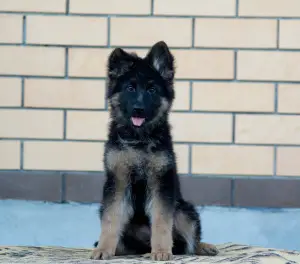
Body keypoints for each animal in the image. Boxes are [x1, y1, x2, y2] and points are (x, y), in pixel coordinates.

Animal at [90, 41, 219, 262]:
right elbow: (111, 218)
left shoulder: (161, 182)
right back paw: (122, 249)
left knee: (189, 243)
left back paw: (201, 247)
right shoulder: (118, 181)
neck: (139, 139)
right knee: (127, 243)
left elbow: (161, 221)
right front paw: (104, 249)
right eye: (130, 88)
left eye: (151, 89)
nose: (138, 109)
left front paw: (160, 251)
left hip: (185, 211)